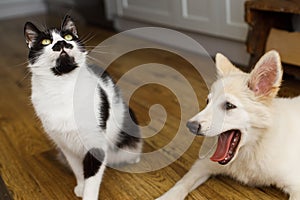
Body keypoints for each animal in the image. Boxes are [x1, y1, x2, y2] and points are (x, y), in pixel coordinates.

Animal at [24, 16, 142, 200]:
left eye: (68, 37)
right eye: (45, 41)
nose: (61, 43)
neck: (62, 88)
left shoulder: (95, 143)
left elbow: (92, 179)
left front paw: (87, 193)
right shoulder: (66, 146)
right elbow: (78, 170)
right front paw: (81, 186)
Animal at [157, 50, 300, 199]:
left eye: (229, 105)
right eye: (208, 102)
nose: (190, 126)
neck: (251, 148)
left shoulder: (296, 185)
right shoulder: (203, 164)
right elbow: (182, 183)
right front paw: (167, 197)